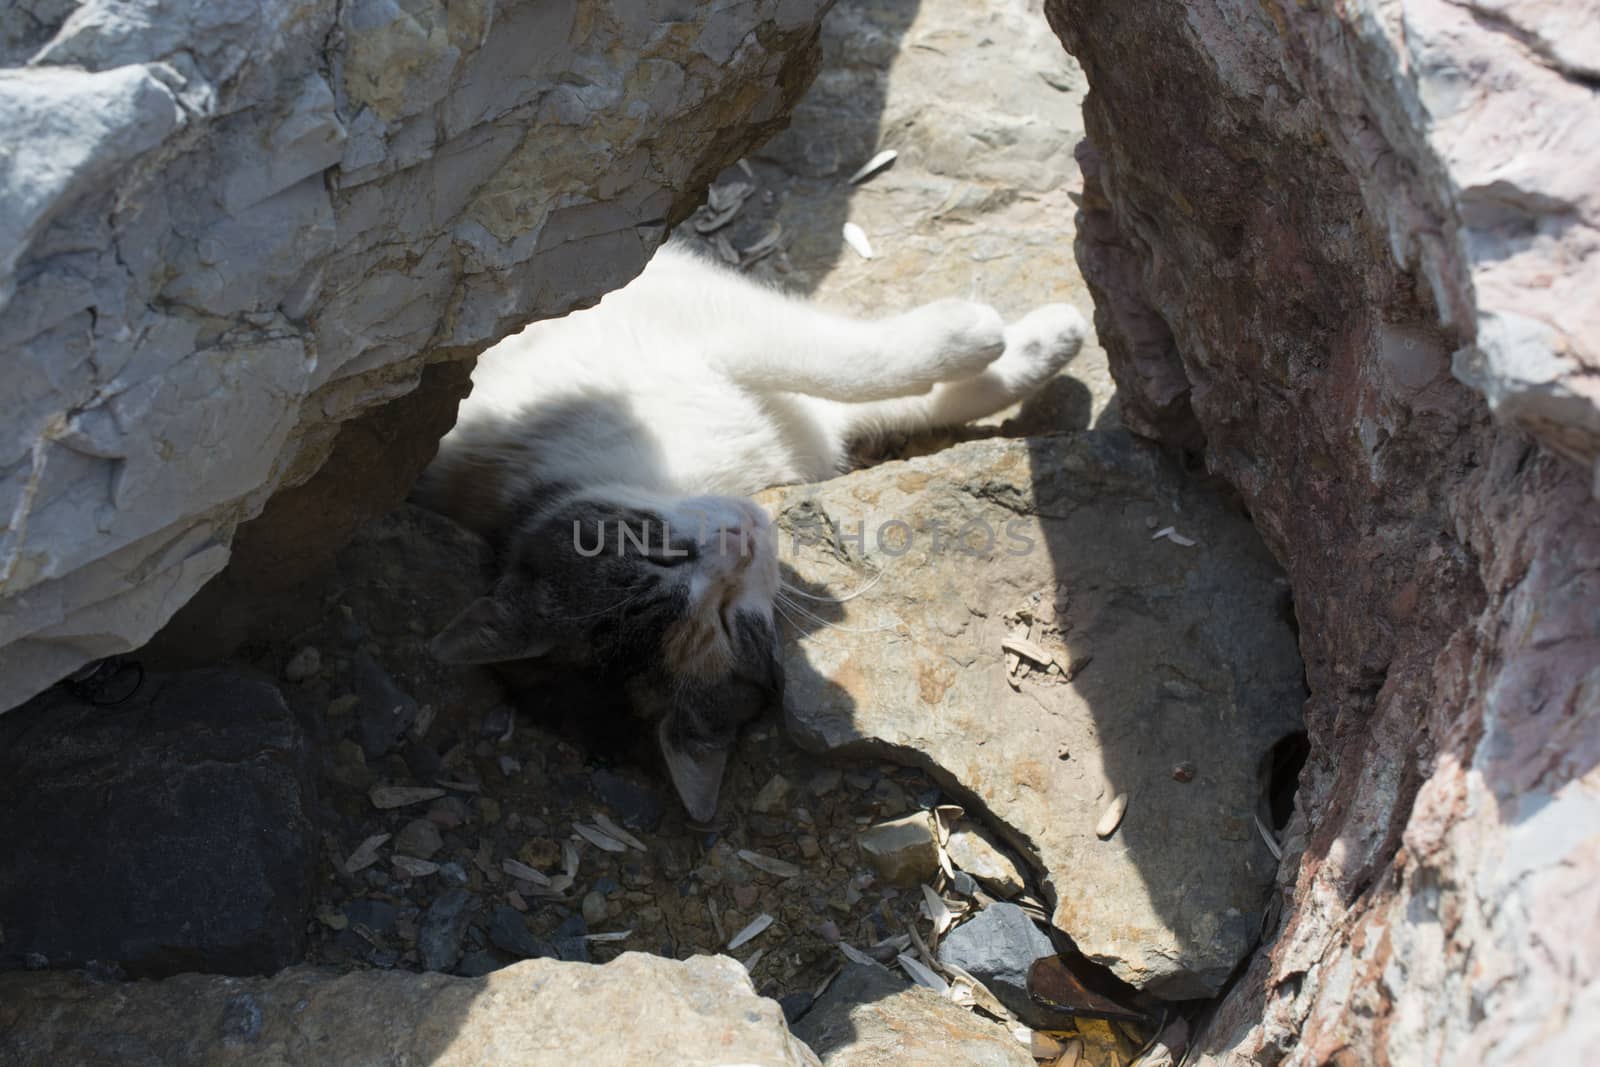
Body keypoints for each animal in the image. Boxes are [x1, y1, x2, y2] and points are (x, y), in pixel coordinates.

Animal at [412, 244, 1088, 825]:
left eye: (659, 551)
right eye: (730, 623)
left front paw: (1025, 345)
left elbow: (841, 371)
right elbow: (849, 374)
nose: (740, 540)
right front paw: (989, 338)